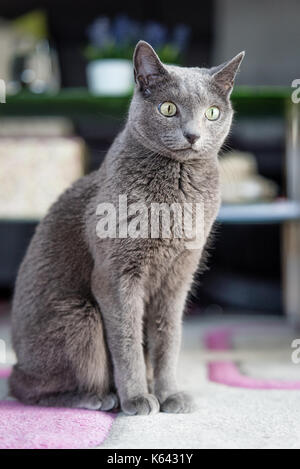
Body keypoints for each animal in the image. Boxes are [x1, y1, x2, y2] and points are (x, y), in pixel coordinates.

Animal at [9, 41, 244, 414]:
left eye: (212, 113)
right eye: (168, 108)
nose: (193, 135)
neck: (177, 188)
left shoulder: (178, 277)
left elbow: (168, 339)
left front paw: (168, 394)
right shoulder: (116, 276)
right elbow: (127, 340)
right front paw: (136, 397)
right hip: (80, 318)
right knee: (26, 386)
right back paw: (98, 398)